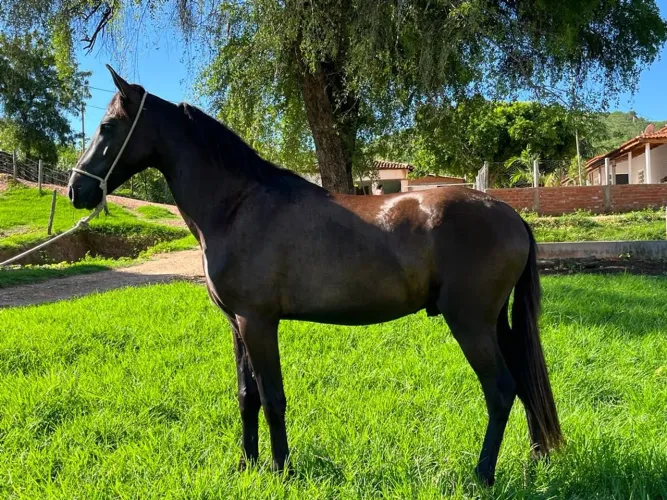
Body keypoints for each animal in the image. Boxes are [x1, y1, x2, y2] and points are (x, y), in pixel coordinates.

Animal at [68, 65, 562, 486]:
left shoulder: (258, 323)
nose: (76, 189)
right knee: (522, 384)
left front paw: (281, 470)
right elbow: (246, 396)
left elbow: (272, 398)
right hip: (495, 323)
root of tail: (509, 214)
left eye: (107, 126)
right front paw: (246, 465)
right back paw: (533, 460)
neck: (238, 206)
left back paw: (482, 475)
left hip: (470, 323)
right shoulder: (236, 325)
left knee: (500, 390)